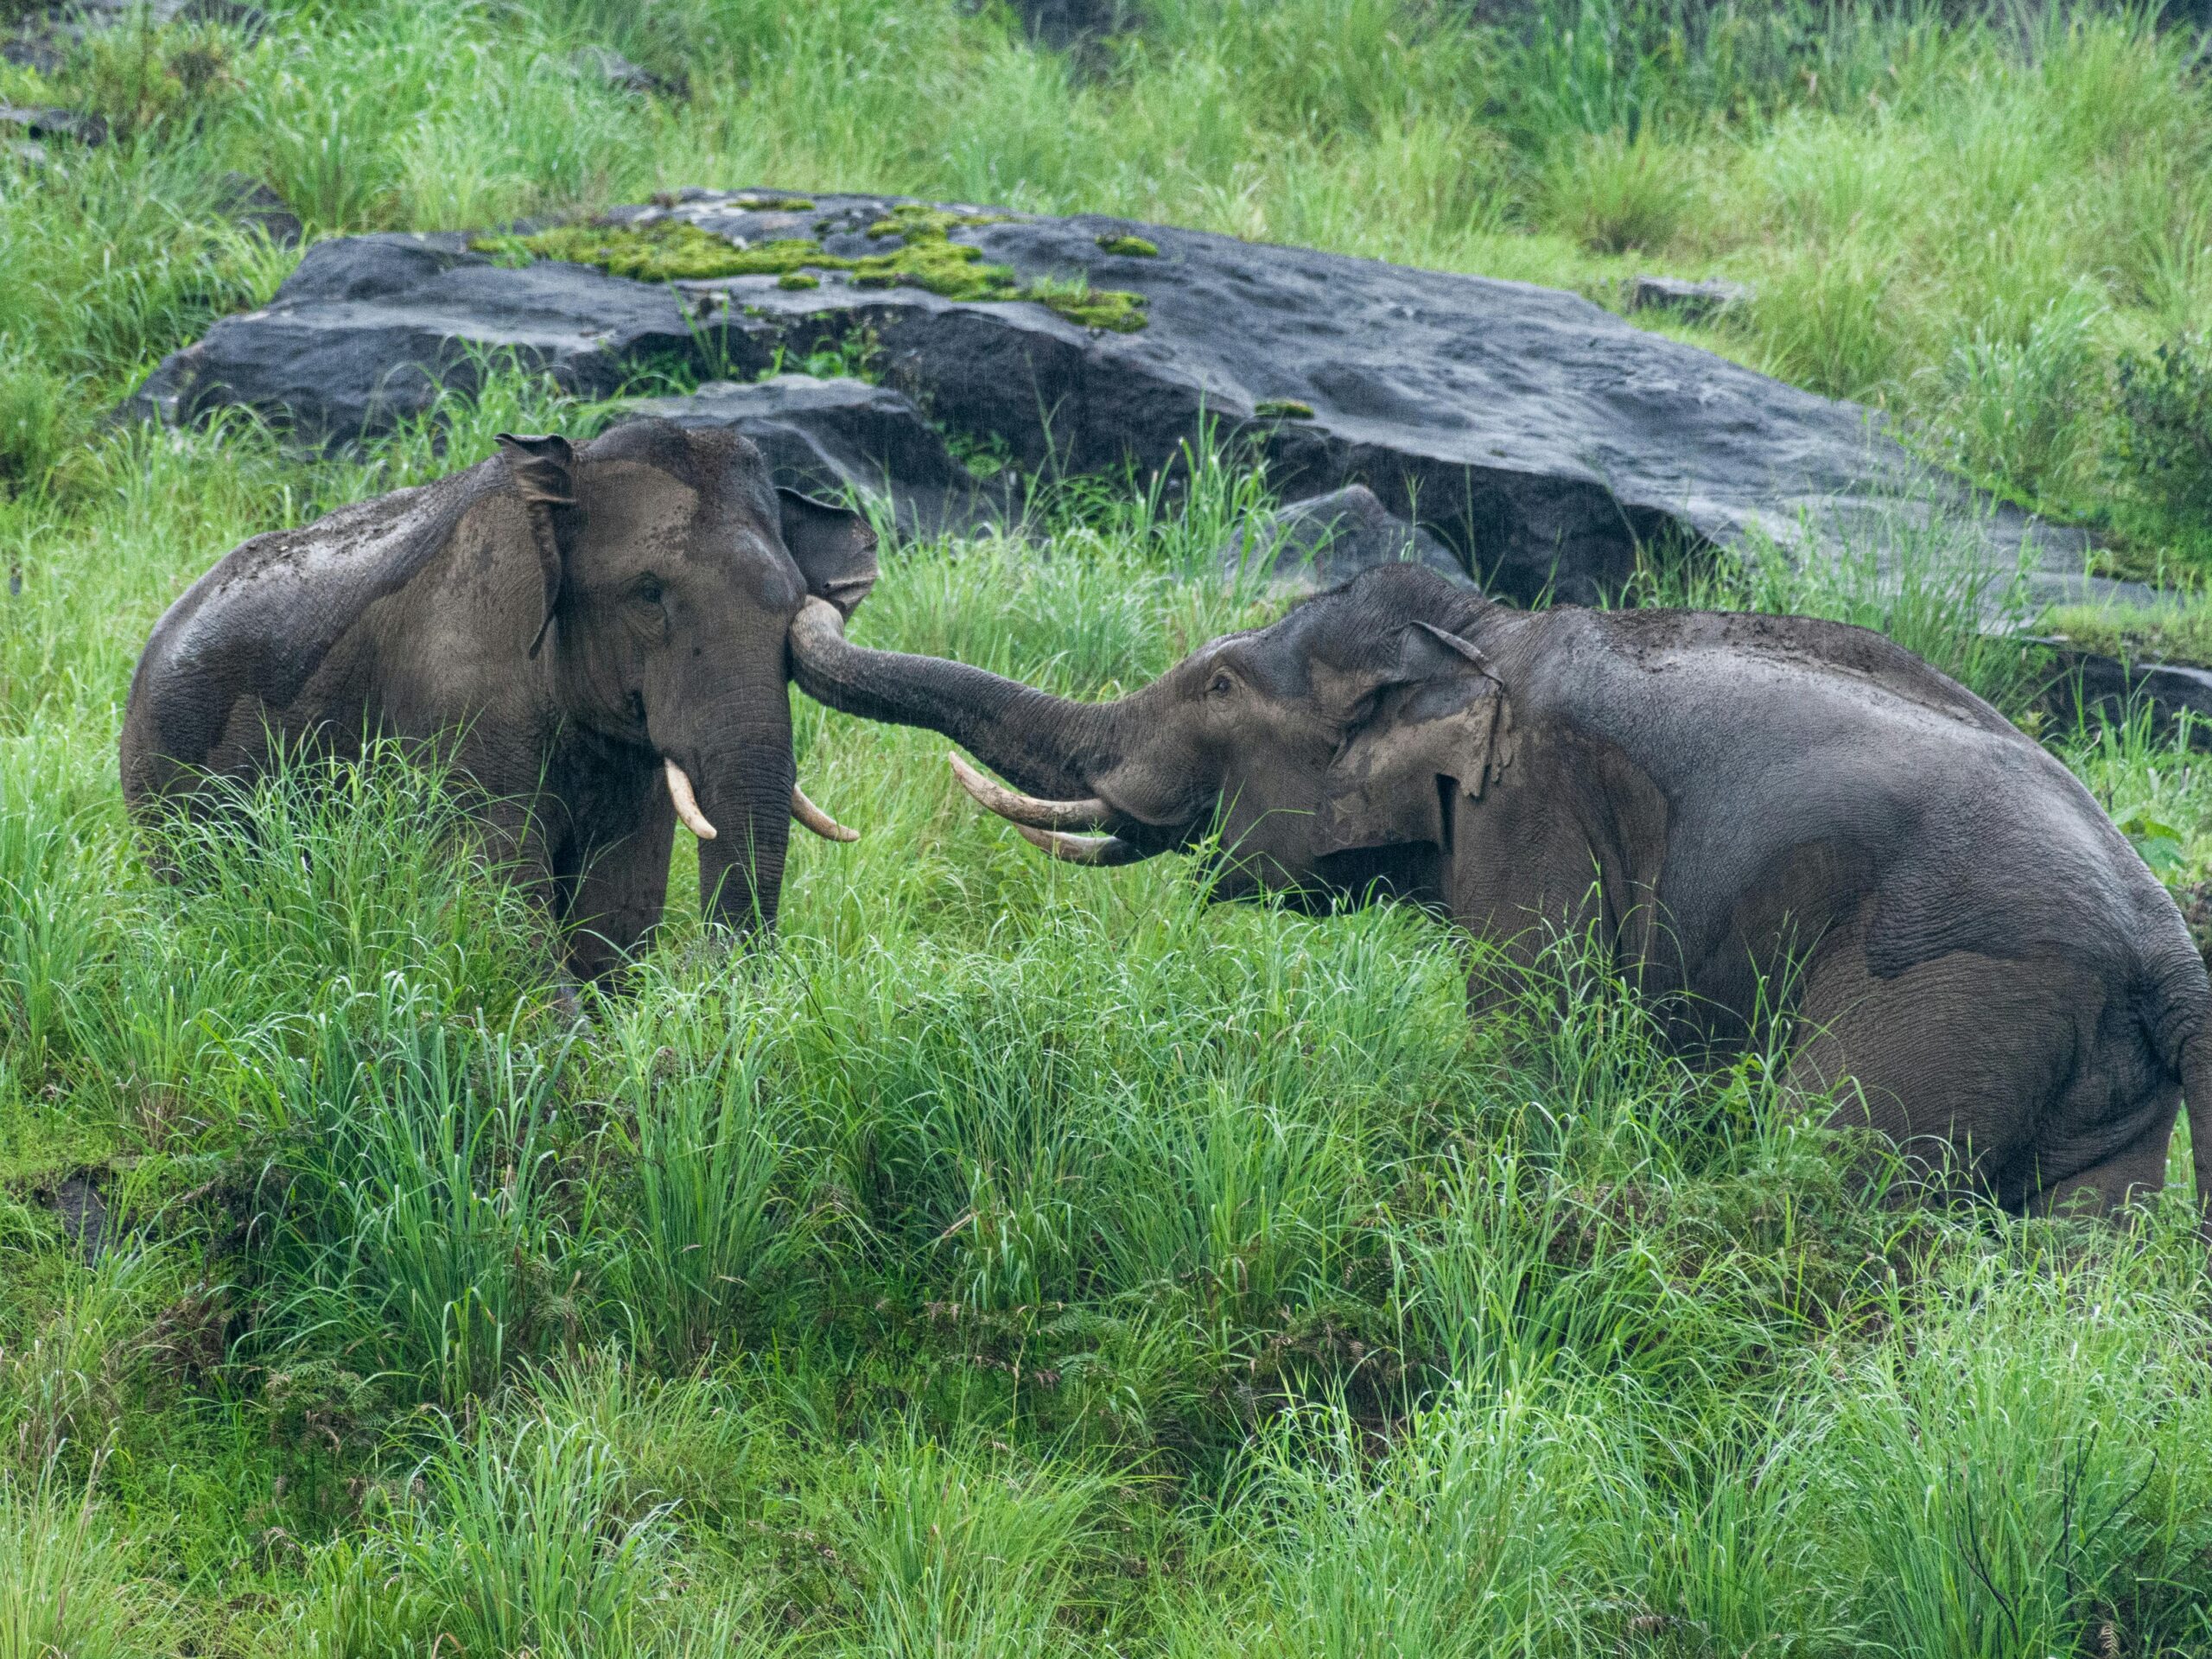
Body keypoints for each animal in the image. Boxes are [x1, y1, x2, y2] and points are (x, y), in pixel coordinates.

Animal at [121, 417, 878, 980]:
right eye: (648, 595)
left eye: (796, 604)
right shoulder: (460, 708)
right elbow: (501, 902)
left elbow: (616, 909)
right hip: (165, 775)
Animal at [788, 562, 2212, 1225]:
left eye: (1215, 688)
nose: (824, 587)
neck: (1486, 631)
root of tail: (2167, 949)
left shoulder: (1536, 823)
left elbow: (1527, 1039)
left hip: (1955, 992)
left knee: (1832, 1175)